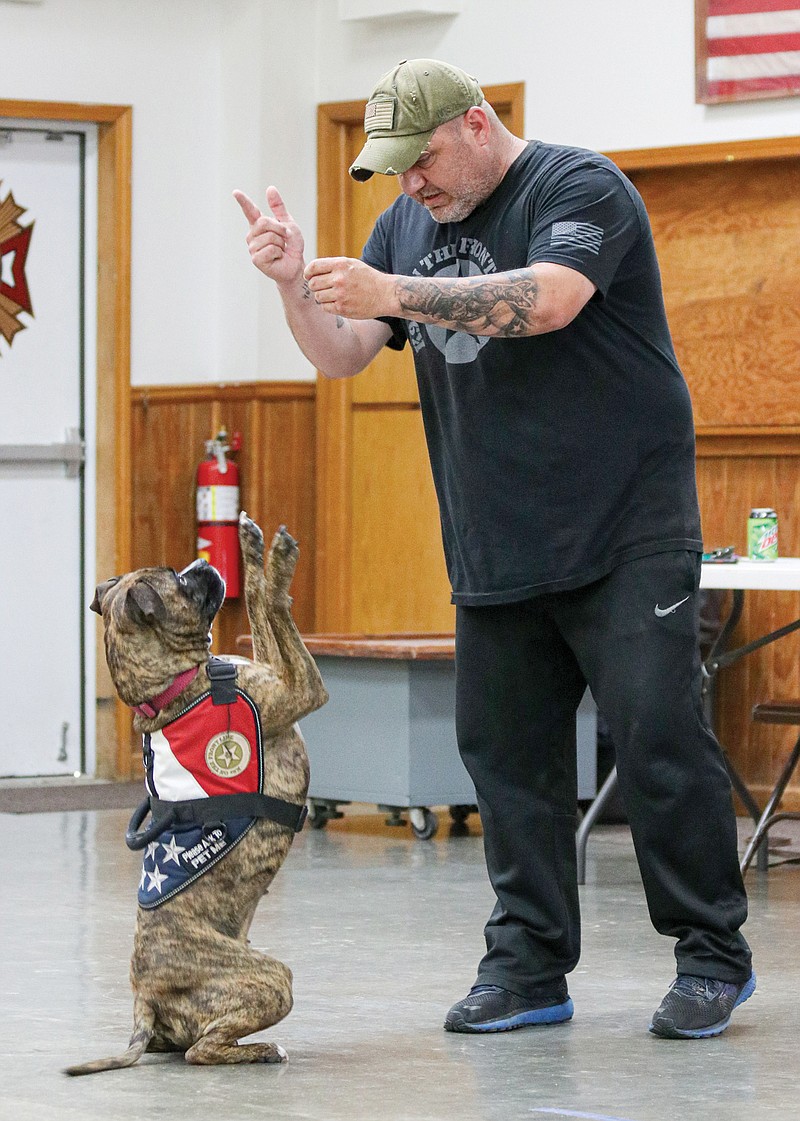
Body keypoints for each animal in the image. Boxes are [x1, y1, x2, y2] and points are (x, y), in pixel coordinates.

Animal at [63, 513, 327, 1071]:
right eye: (177, 581)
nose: (202, 564)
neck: (170, 683)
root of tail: (144, 999)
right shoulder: (302, 690)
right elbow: (274, 605)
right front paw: (279, 564)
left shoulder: (273, 669)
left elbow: (259, 607)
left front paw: (252, 550)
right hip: (272, 978)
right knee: (201, 1051)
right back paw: (263, 1050)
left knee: (182, 1043)